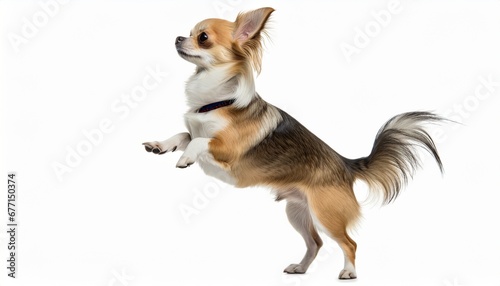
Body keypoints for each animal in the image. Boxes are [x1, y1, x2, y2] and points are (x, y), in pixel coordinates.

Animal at [143, 7, 444, 280]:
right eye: (190, 32)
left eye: (203, 37)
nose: (178, 37)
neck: (214, 102)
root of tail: (346, 165)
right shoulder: (196, 131)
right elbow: (184, 135)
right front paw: (161, 144)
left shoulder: (228, 150)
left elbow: (199, 140)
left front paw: (185, 158)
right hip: (297, 211)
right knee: (316, 243)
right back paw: (300, 268)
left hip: (325, 214)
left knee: (349, 243)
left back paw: (349, 272)